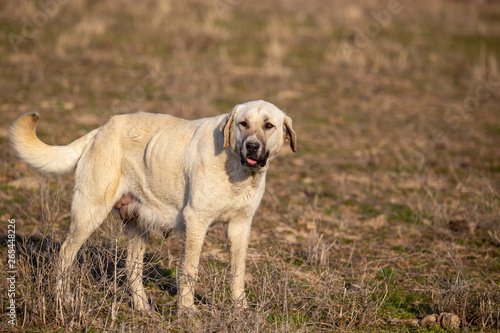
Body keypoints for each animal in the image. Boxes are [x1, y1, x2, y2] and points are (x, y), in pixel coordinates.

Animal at [9, 100, 294, 312]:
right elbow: (189, 270)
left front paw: (240, 309)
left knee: (131, 267)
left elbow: (238, 271)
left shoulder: (240, 226)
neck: (235, 167)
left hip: (138, 226)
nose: (252, 146)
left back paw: (142, 307)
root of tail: (100, 130)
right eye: (242, 124)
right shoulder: (196, 222)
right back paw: (62, 299)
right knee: (66, 253)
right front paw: (187, 311)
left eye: (269, 125)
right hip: (89, 214)